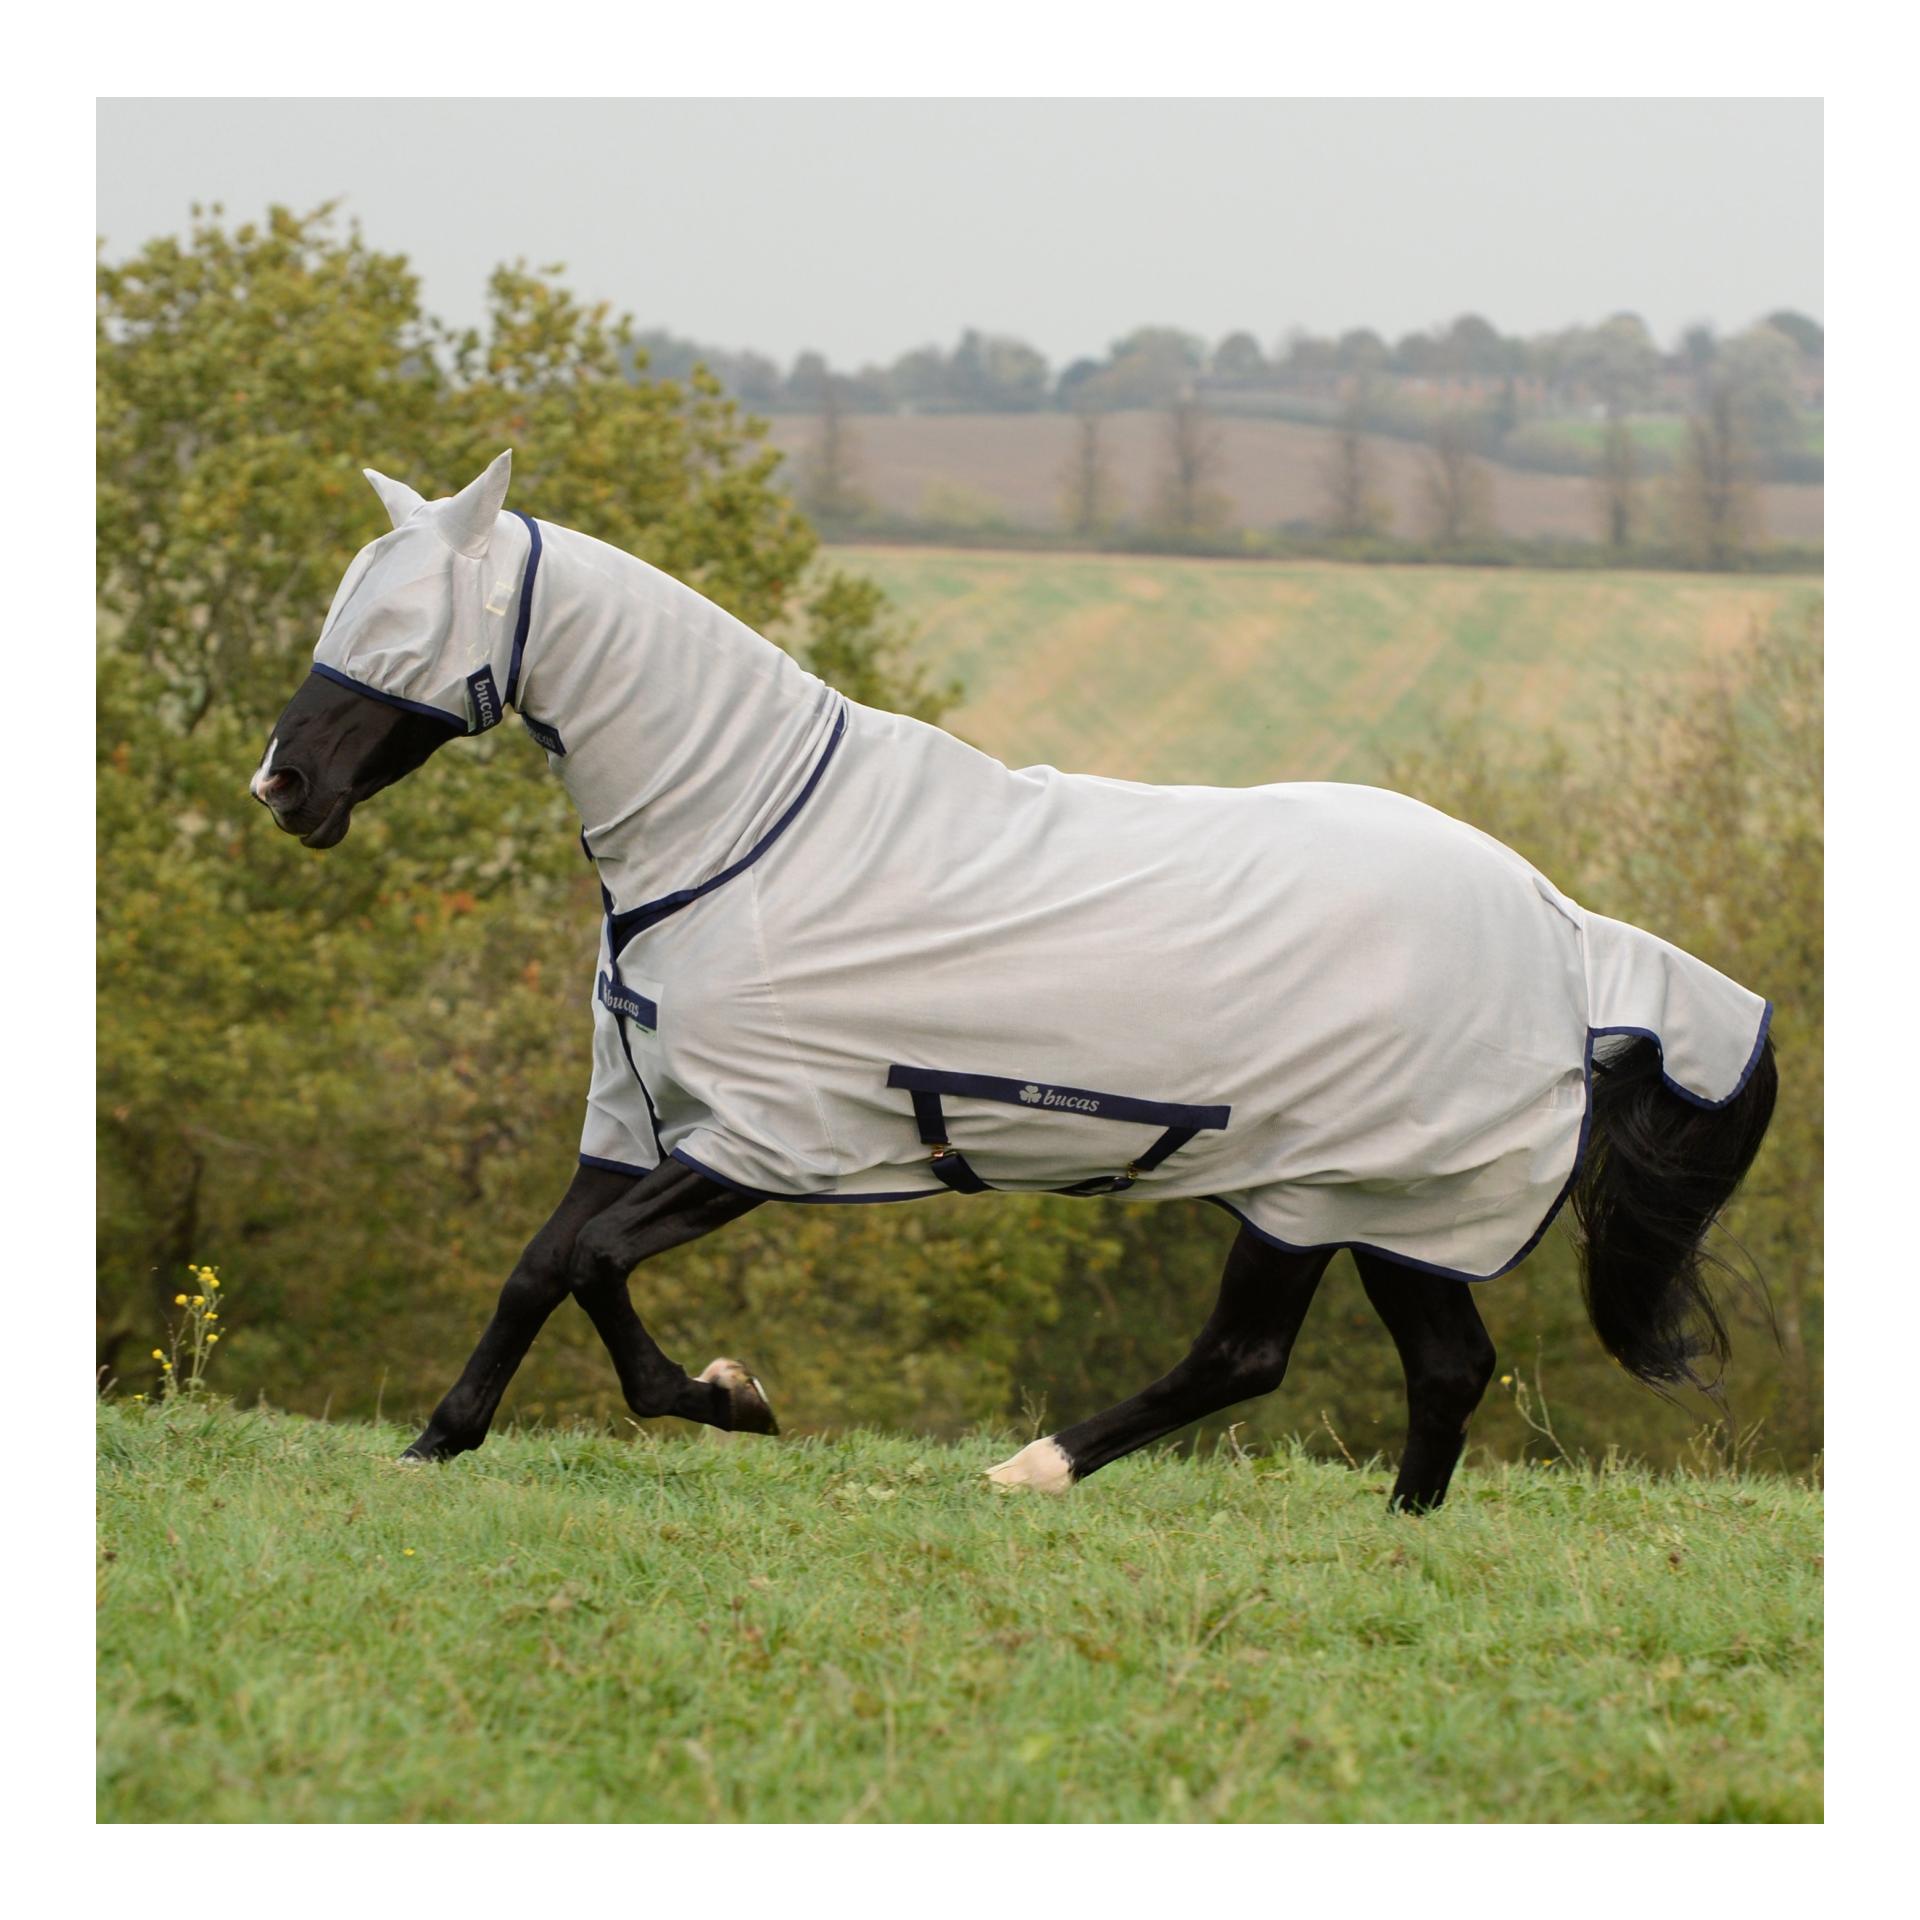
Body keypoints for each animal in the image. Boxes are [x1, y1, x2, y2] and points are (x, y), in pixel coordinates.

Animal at [251, 453, 1777, 1512]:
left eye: (405, 621)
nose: (284, 788)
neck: (743, 833)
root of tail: (1568, 931)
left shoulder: (760, 1144)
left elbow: (589, 1265)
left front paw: (731, 1398)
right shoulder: (634, 1114)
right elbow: (538, 1266)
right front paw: (437, 1441)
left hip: (1327, 1191)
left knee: (1257, 1358)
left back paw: (1031, 1473)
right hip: (1386, 1207)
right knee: (1432, 1368)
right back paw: (1384, 1531)